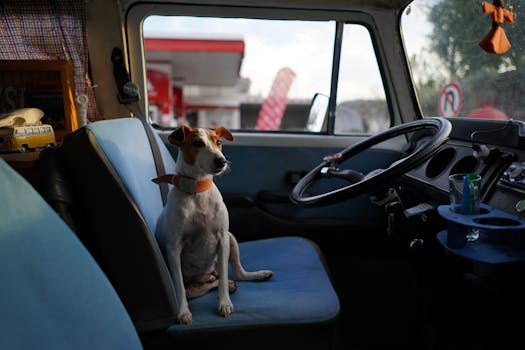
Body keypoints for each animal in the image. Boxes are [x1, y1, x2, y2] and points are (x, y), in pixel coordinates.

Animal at [152, 124, 272, 324]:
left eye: (219, 142)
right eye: (197, 143)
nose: (221, 161)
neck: (198, 190)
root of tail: (205, 276)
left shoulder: (222, 239)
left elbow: (223, 276)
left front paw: (224, 302)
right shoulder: (173, 248)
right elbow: (179, 286)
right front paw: (183, 311)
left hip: (231, 239)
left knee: (235, 274)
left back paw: (254, 276)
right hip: (195, 284)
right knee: (203, 286)